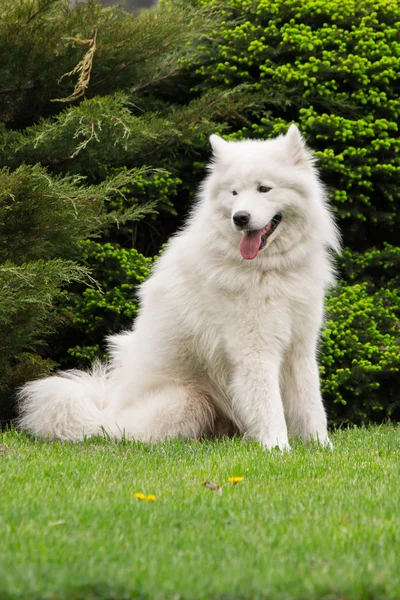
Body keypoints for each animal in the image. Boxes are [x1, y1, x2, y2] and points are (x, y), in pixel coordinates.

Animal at [17, 125, 340, 450]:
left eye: (264, 189)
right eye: (234, 193)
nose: (240, 218)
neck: (269, 269)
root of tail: (104, 412)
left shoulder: (300, 348)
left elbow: (311, 405)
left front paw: (321, 447)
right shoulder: (254, 349)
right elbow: (269, 406)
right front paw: (278, 449)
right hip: (189, 399)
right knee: (124, 434)